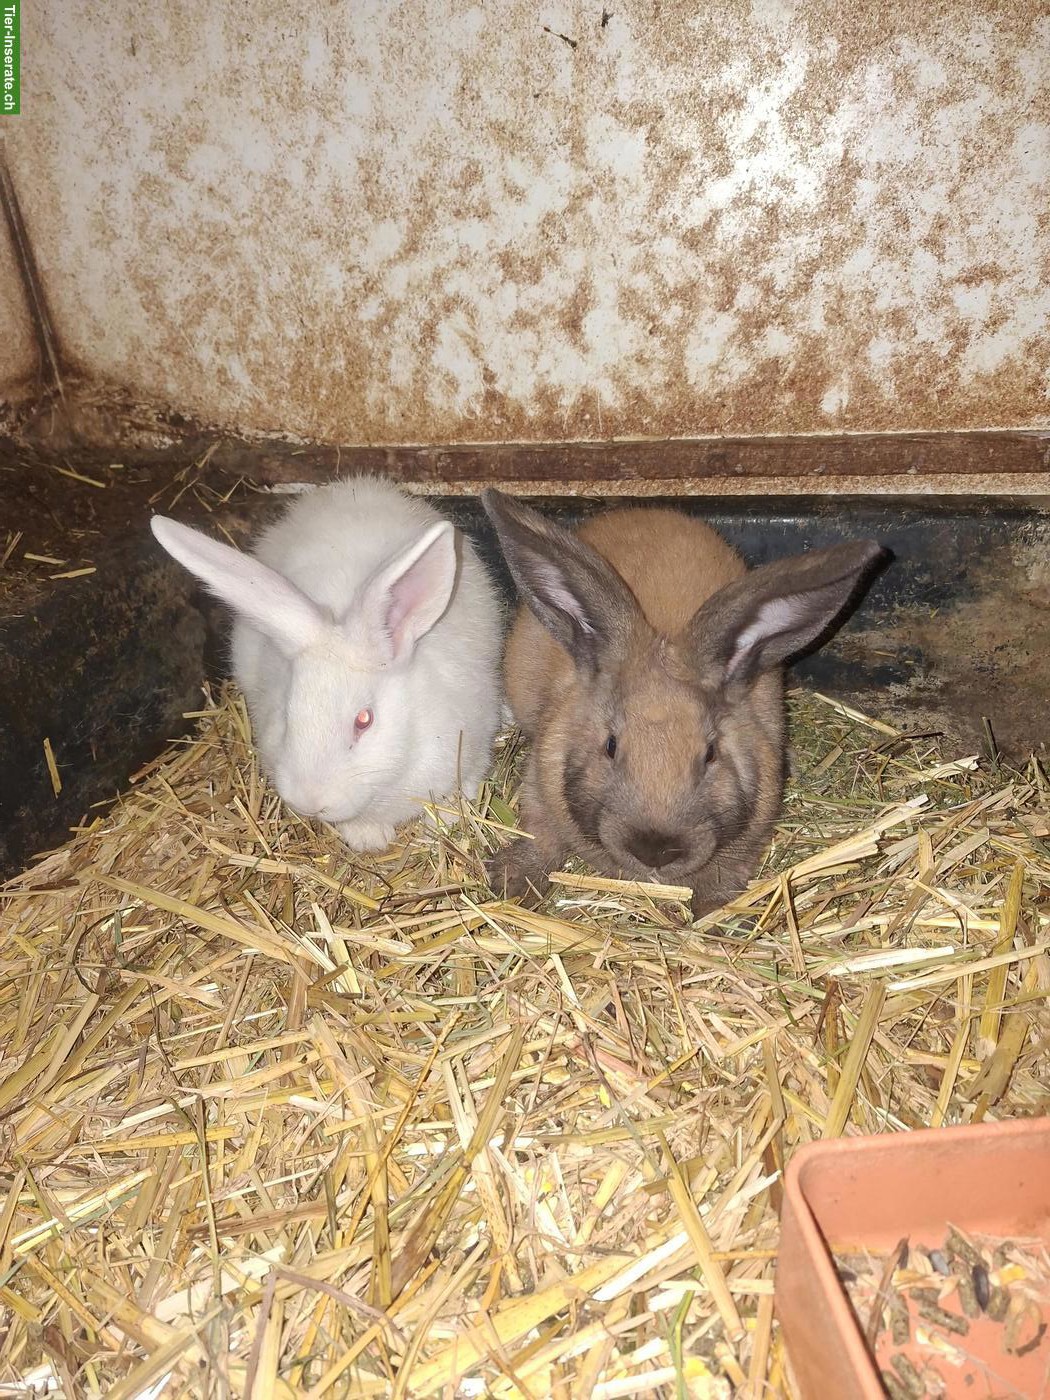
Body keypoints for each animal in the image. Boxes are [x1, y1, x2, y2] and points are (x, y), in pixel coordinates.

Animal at [151, 476, 503, 852]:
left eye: (364, 721)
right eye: (287, 714)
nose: (310, 802)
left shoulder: (471, 750)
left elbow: (459, 792)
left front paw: (440, 826)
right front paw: (369, 839)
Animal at [481, 490, 886, 917]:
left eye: (710, 753)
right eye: (610, 746)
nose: (655, 850)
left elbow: (725, 873)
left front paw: (719, 916)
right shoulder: (539, 783)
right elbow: (539, 835)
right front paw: (512, 884)